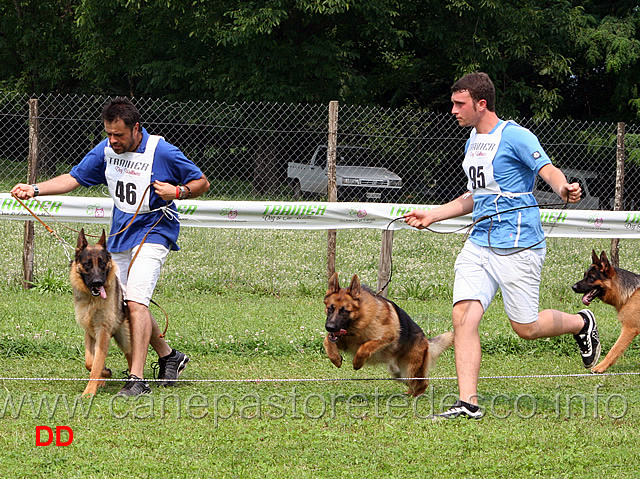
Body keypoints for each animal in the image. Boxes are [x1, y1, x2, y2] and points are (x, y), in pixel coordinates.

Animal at [70, 230, 131, 398]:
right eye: (87, 264)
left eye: (102, 263)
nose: (98, 282)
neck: (93, 300)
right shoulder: (90, 333)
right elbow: (90, 362)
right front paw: (104, 373)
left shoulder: (102, 332)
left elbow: (96, 364)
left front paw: (89, 391)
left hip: (125, 341)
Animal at [324, 274, 456, 398]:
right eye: (330, 309)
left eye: (344, 311)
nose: (329, 327)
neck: (359, 322)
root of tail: (426, 341)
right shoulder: (342, 340)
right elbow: (327, 340)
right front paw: (336, 358)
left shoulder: (387, 337)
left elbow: (365, 346)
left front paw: (357, 362)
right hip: (399, 374)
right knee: (413, 384)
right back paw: (408, 393)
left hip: (409, 371)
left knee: (423, 383)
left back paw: (415, 396)